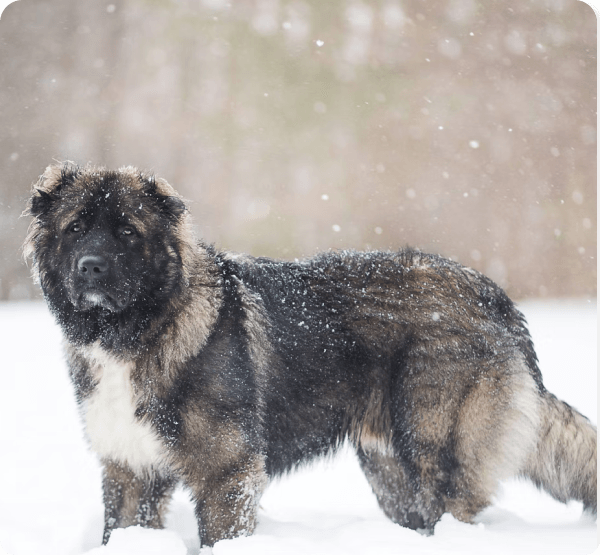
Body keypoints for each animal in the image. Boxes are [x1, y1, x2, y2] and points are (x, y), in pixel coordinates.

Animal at [22, 162, 596, 548]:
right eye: (76, 227)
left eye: (127, 231)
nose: (91, 267)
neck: (141, 328)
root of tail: (493, 296)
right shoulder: (130, 472)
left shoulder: (227, 472)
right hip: (391, 473)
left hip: (438, 454)